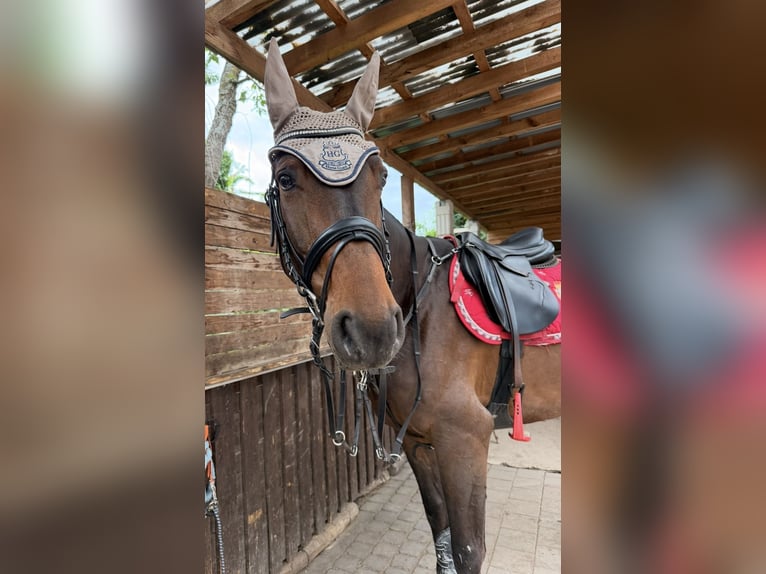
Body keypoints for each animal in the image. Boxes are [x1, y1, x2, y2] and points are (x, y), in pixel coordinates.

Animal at [262, 39, 561, 574]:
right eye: (287, 178)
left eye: (381, 176)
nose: (373, 329)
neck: (421, 308)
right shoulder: (422, 446)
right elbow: (441, 540)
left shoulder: (466, 441)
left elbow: (466, 550)